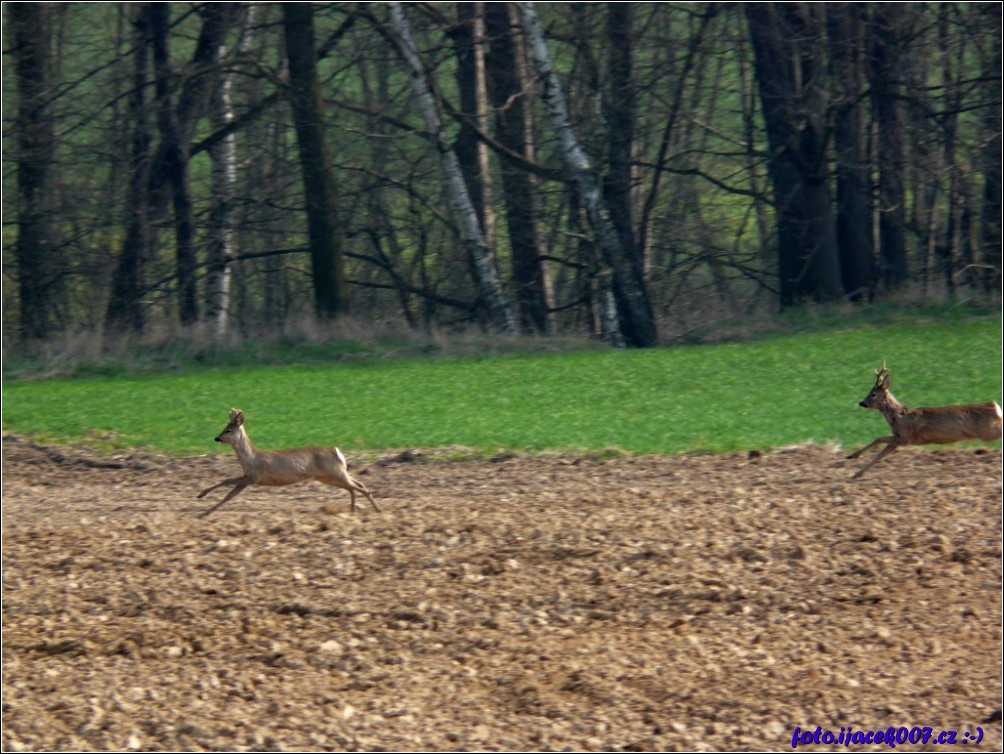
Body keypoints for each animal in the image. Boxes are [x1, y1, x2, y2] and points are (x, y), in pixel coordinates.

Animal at [195, 409, 379, 518]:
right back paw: (353, 510)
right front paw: (205, 511)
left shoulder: (254, 476)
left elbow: (226, 482)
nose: (216, 438)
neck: (250, 459)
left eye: (228, 430)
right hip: (330, 475)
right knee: (356, 485)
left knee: (359, 487)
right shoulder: (248, 478)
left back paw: (377, 510)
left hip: (335, 472)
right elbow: (229, 496)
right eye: (224, 427)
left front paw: (201, 496)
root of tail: (337, 451)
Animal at [843, 363, 999, 479]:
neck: (898, 416)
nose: (861, 403)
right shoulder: (898, 439)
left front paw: (853, 456)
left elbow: (878, 439)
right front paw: (856, 471)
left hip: (988, 432)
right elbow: (880, 454)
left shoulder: (906, 437)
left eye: (873, 394)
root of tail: (995, 406)